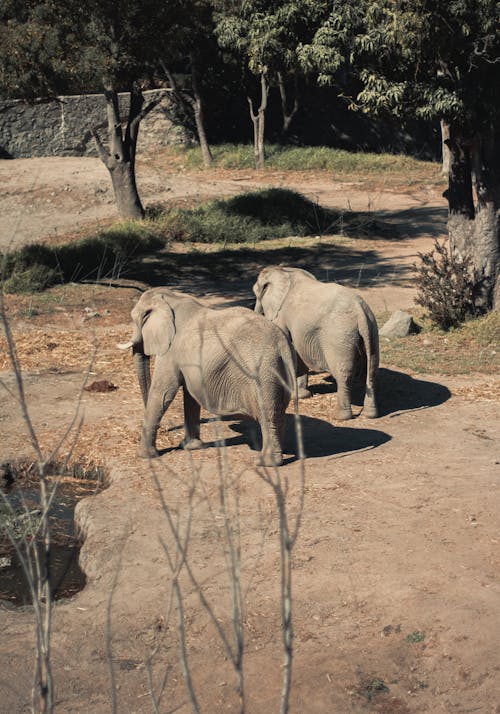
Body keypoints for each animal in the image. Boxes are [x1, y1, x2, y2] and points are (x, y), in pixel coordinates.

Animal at [117, 286, 296, 464]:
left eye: (135, 318)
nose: (165, 430)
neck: (171, 298)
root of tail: (282, 345)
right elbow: (189, 396)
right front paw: (190, 447)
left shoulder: (171, 351)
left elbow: (162, 392)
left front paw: (144, 456)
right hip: (276, 372)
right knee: (278, 413)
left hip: (263, 373)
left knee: (267, 415)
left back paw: (265, 463)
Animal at [254, 268, 378, 422]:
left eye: (256, 292)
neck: (284, 271)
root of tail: (360, 310)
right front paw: (303, 395)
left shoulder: (281, 314)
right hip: (371, 331)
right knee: (372, 369)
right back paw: (370, 415)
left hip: (339, 337)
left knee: (343, 374)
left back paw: (339, 417)